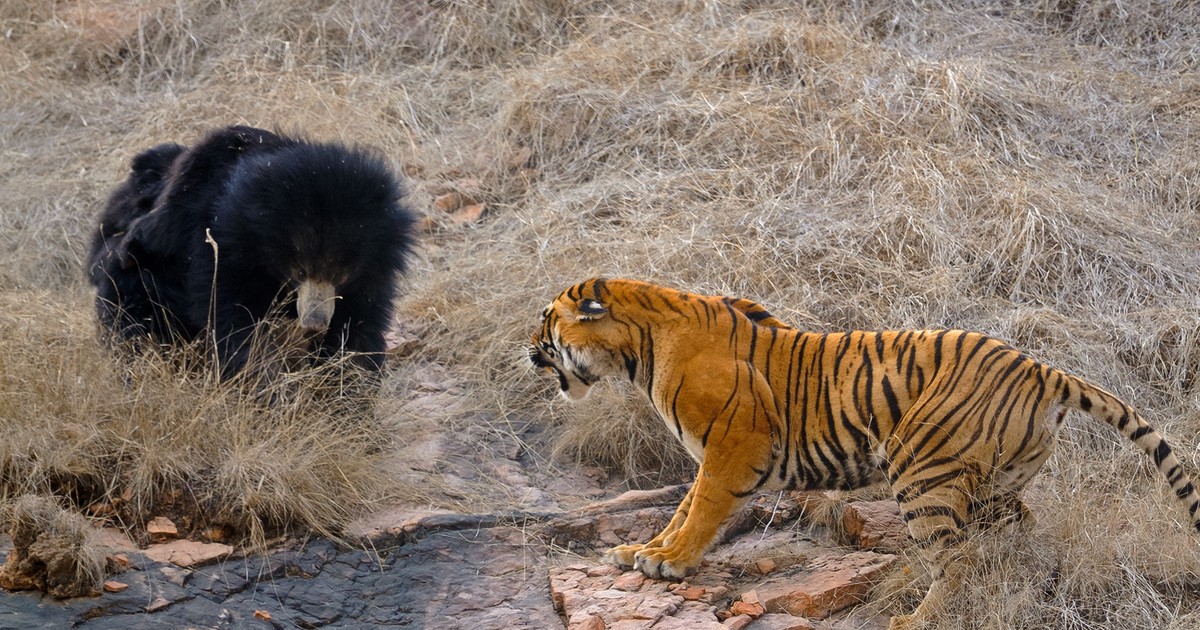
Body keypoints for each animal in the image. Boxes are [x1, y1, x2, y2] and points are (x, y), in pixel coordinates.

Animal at [87, 125, 417, 376]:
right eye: (299, 270)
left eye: (342, 274)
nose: (314, 325)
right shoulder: (220, 249)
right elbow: (234, 320)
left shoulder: (373, 272)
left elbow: (359, 326)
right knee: (130, 302)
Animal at [532, 277, 1200, 624]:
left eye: (546, 321)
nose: (528, 350)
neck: (638, 350)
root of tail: (1043, 369)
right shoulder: (713, 455)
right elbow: (681, 509)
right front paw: (642, 551)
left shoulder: (732, 448)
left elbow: (699, 511)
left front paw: (668, 563)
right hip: (991, 483)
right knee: (1012, 531)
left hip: (920, 468)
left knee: (956, 558)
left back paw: (917, 618)